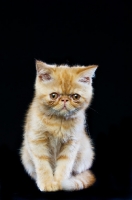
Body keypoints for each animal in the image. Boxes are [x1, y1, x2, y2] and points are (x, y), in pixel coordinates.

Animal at [19, 60, 98, 191]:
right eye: (53, 95)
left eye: (75, 96)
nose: (65, 100)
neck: (58, 122)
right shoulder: (36, 140)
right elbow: (42, 164)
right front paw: (47, 183)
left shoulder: (72, 143)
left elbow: (64, 166)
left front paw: (60, 183)